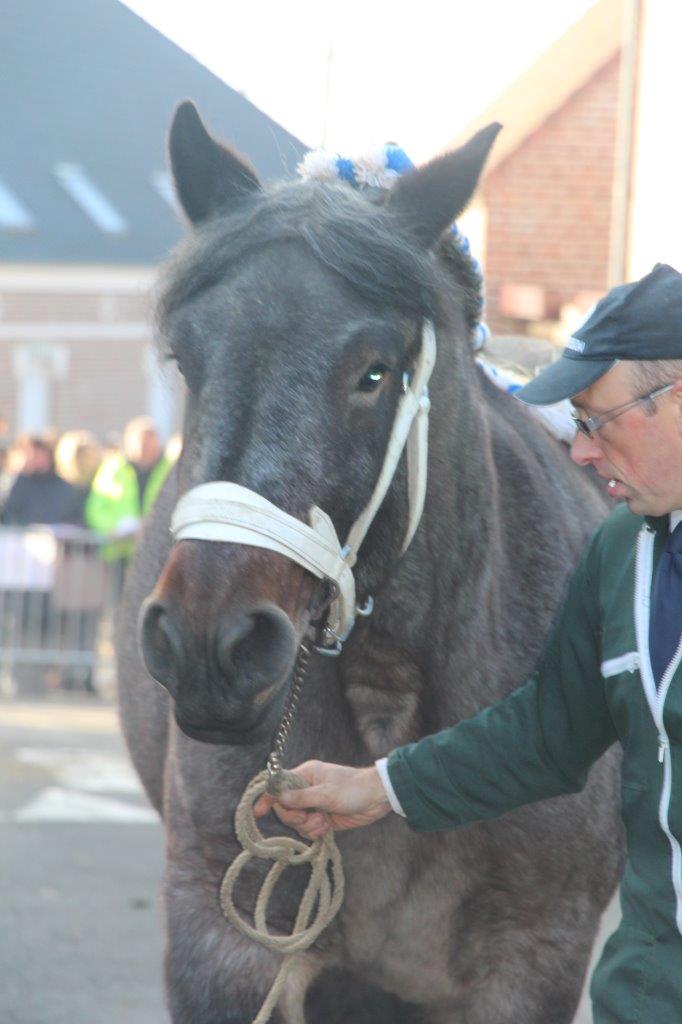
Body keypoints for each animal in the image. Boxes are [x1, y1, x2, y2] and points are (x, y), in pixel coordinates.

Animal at [115, 97, 622, 1024]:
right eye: (185, 361)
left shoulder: (533, 958)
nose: (207, 643)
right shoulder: (225, 948)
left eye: (375, 374)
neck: (393, 697)